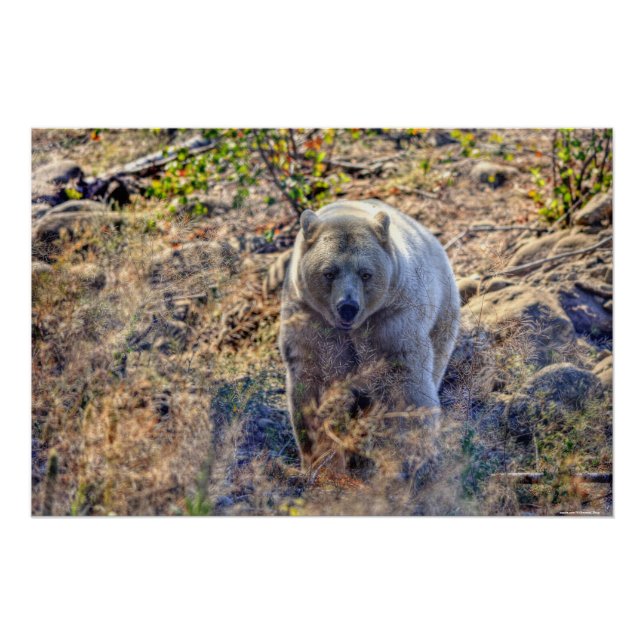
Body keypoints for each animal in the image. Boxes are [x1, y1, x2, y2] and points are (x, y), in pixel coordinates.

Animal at [278, 199, 460, 473]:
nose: (348, 306)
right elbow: (314, 381)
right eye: (329, 272)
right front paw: (319, 457)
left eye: (366, 273)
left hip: (442, 312)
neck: (351, 329)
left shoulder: (390, 320)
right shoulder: (310, 321)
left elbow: (403, 380)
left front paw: (412, 450)